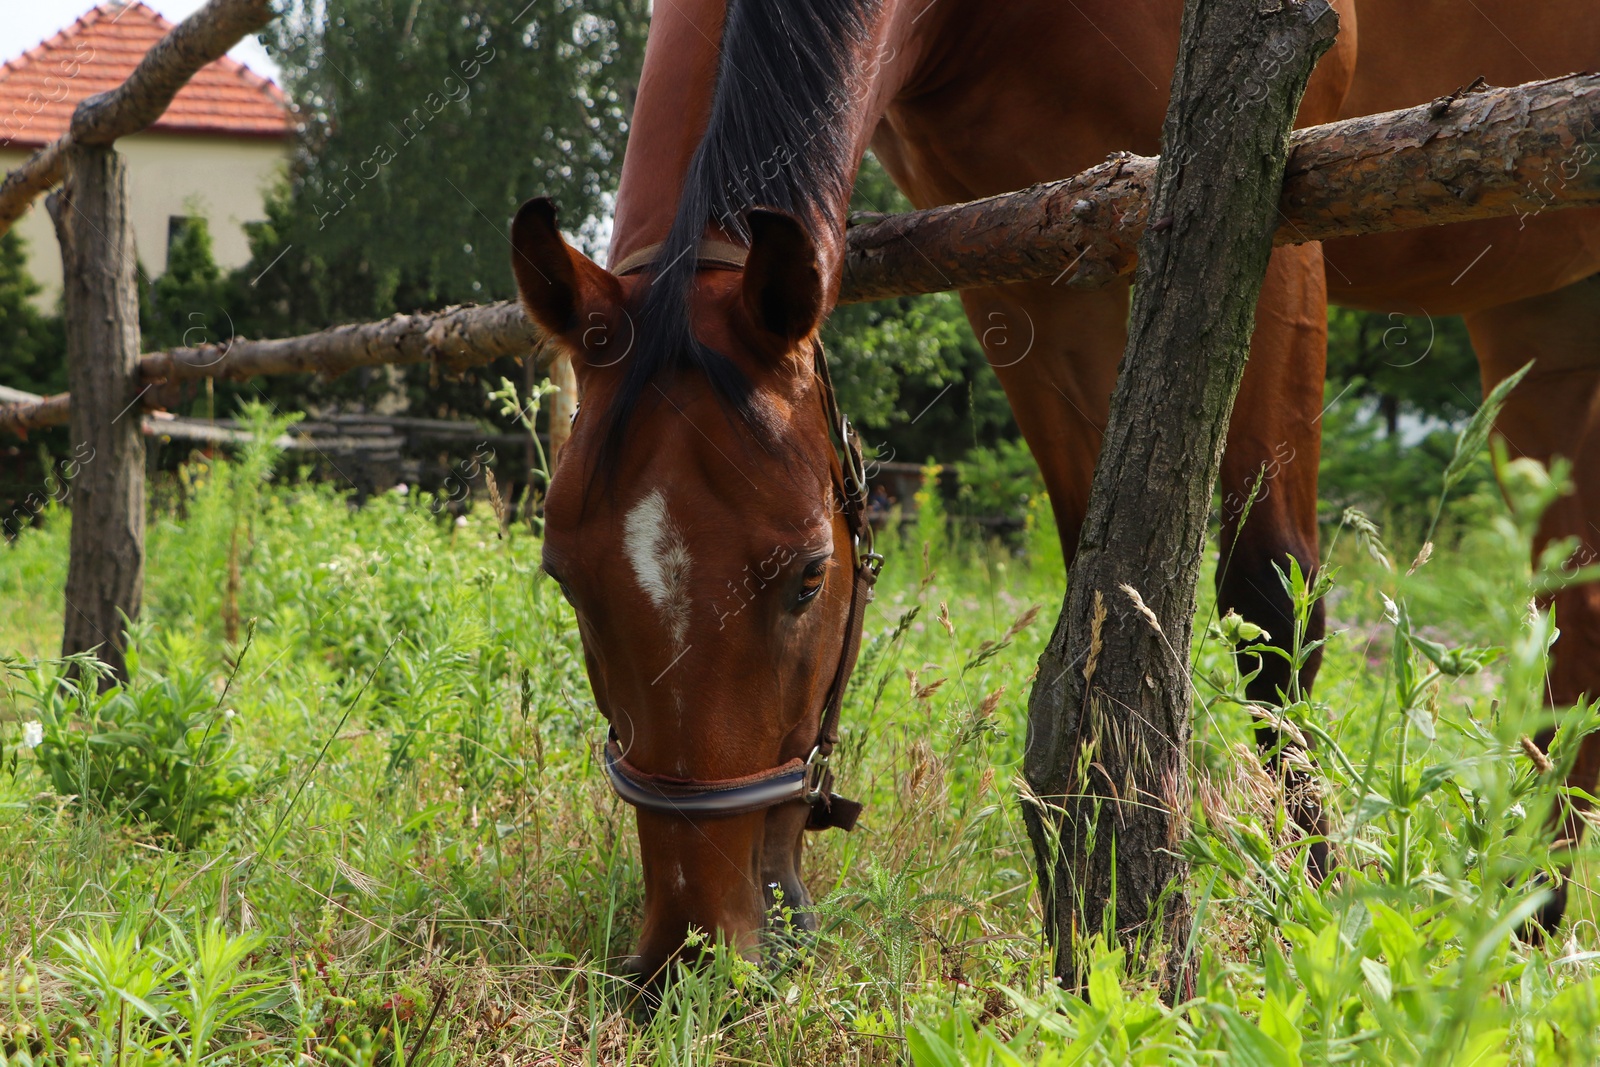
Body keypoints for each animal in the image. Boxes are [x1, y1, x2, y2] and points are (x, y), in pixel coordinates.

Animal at [512, 0, 1600, 979]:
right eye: (564, 577)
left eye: (809, 576)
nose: (693, 949)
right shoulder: (1024, 271)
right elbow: (1096, 586)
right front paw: (1097, 910)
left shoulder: (1272, 209)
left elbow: (1272, 614)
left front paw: (1310, 918)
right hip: (1544, 305)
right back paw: (1530, 922)